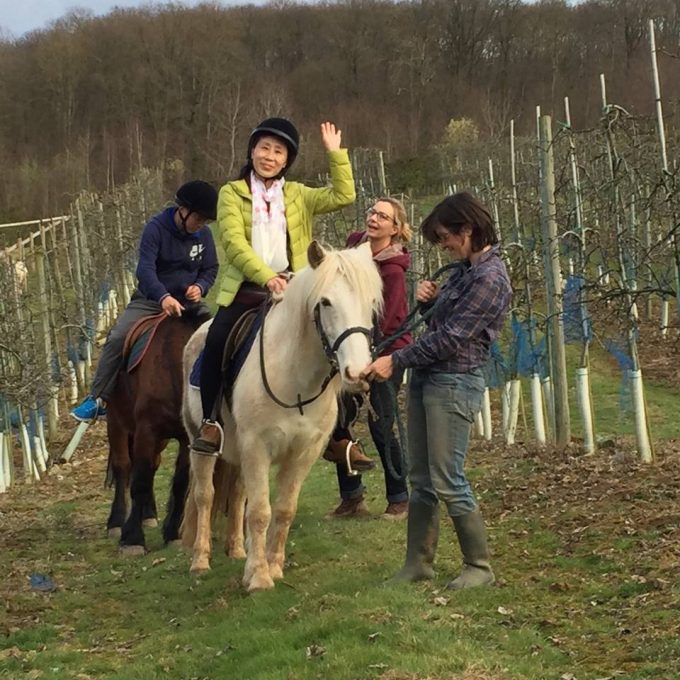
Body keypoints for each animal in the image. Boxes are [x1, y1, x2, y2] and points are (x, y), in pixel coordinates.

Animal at [103, 312, 209, 552]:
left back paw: (148, 515)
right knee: (123, 466)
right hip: (116, 422)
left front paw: (173, 533)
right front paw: (132, 539)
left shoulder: (186, 437)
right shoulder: (146, 430)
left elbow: (179, 482)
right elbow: (140, 480)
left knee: (153, 464)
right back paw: (116, 522)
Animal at [181, 242, 382, 592]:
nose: (358, 373)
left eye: (370, 302)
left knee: (237, 495)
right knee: (205, 496)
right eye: (325, 302)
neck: (294, 380)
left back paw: (237, 549)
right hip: (200, 442)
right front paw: (259, 577)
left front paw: (271, 566)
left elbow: (284, 509)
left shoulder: (303, 452)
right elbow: (260, 512)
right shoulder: (256, 447)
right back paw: (200, 560)